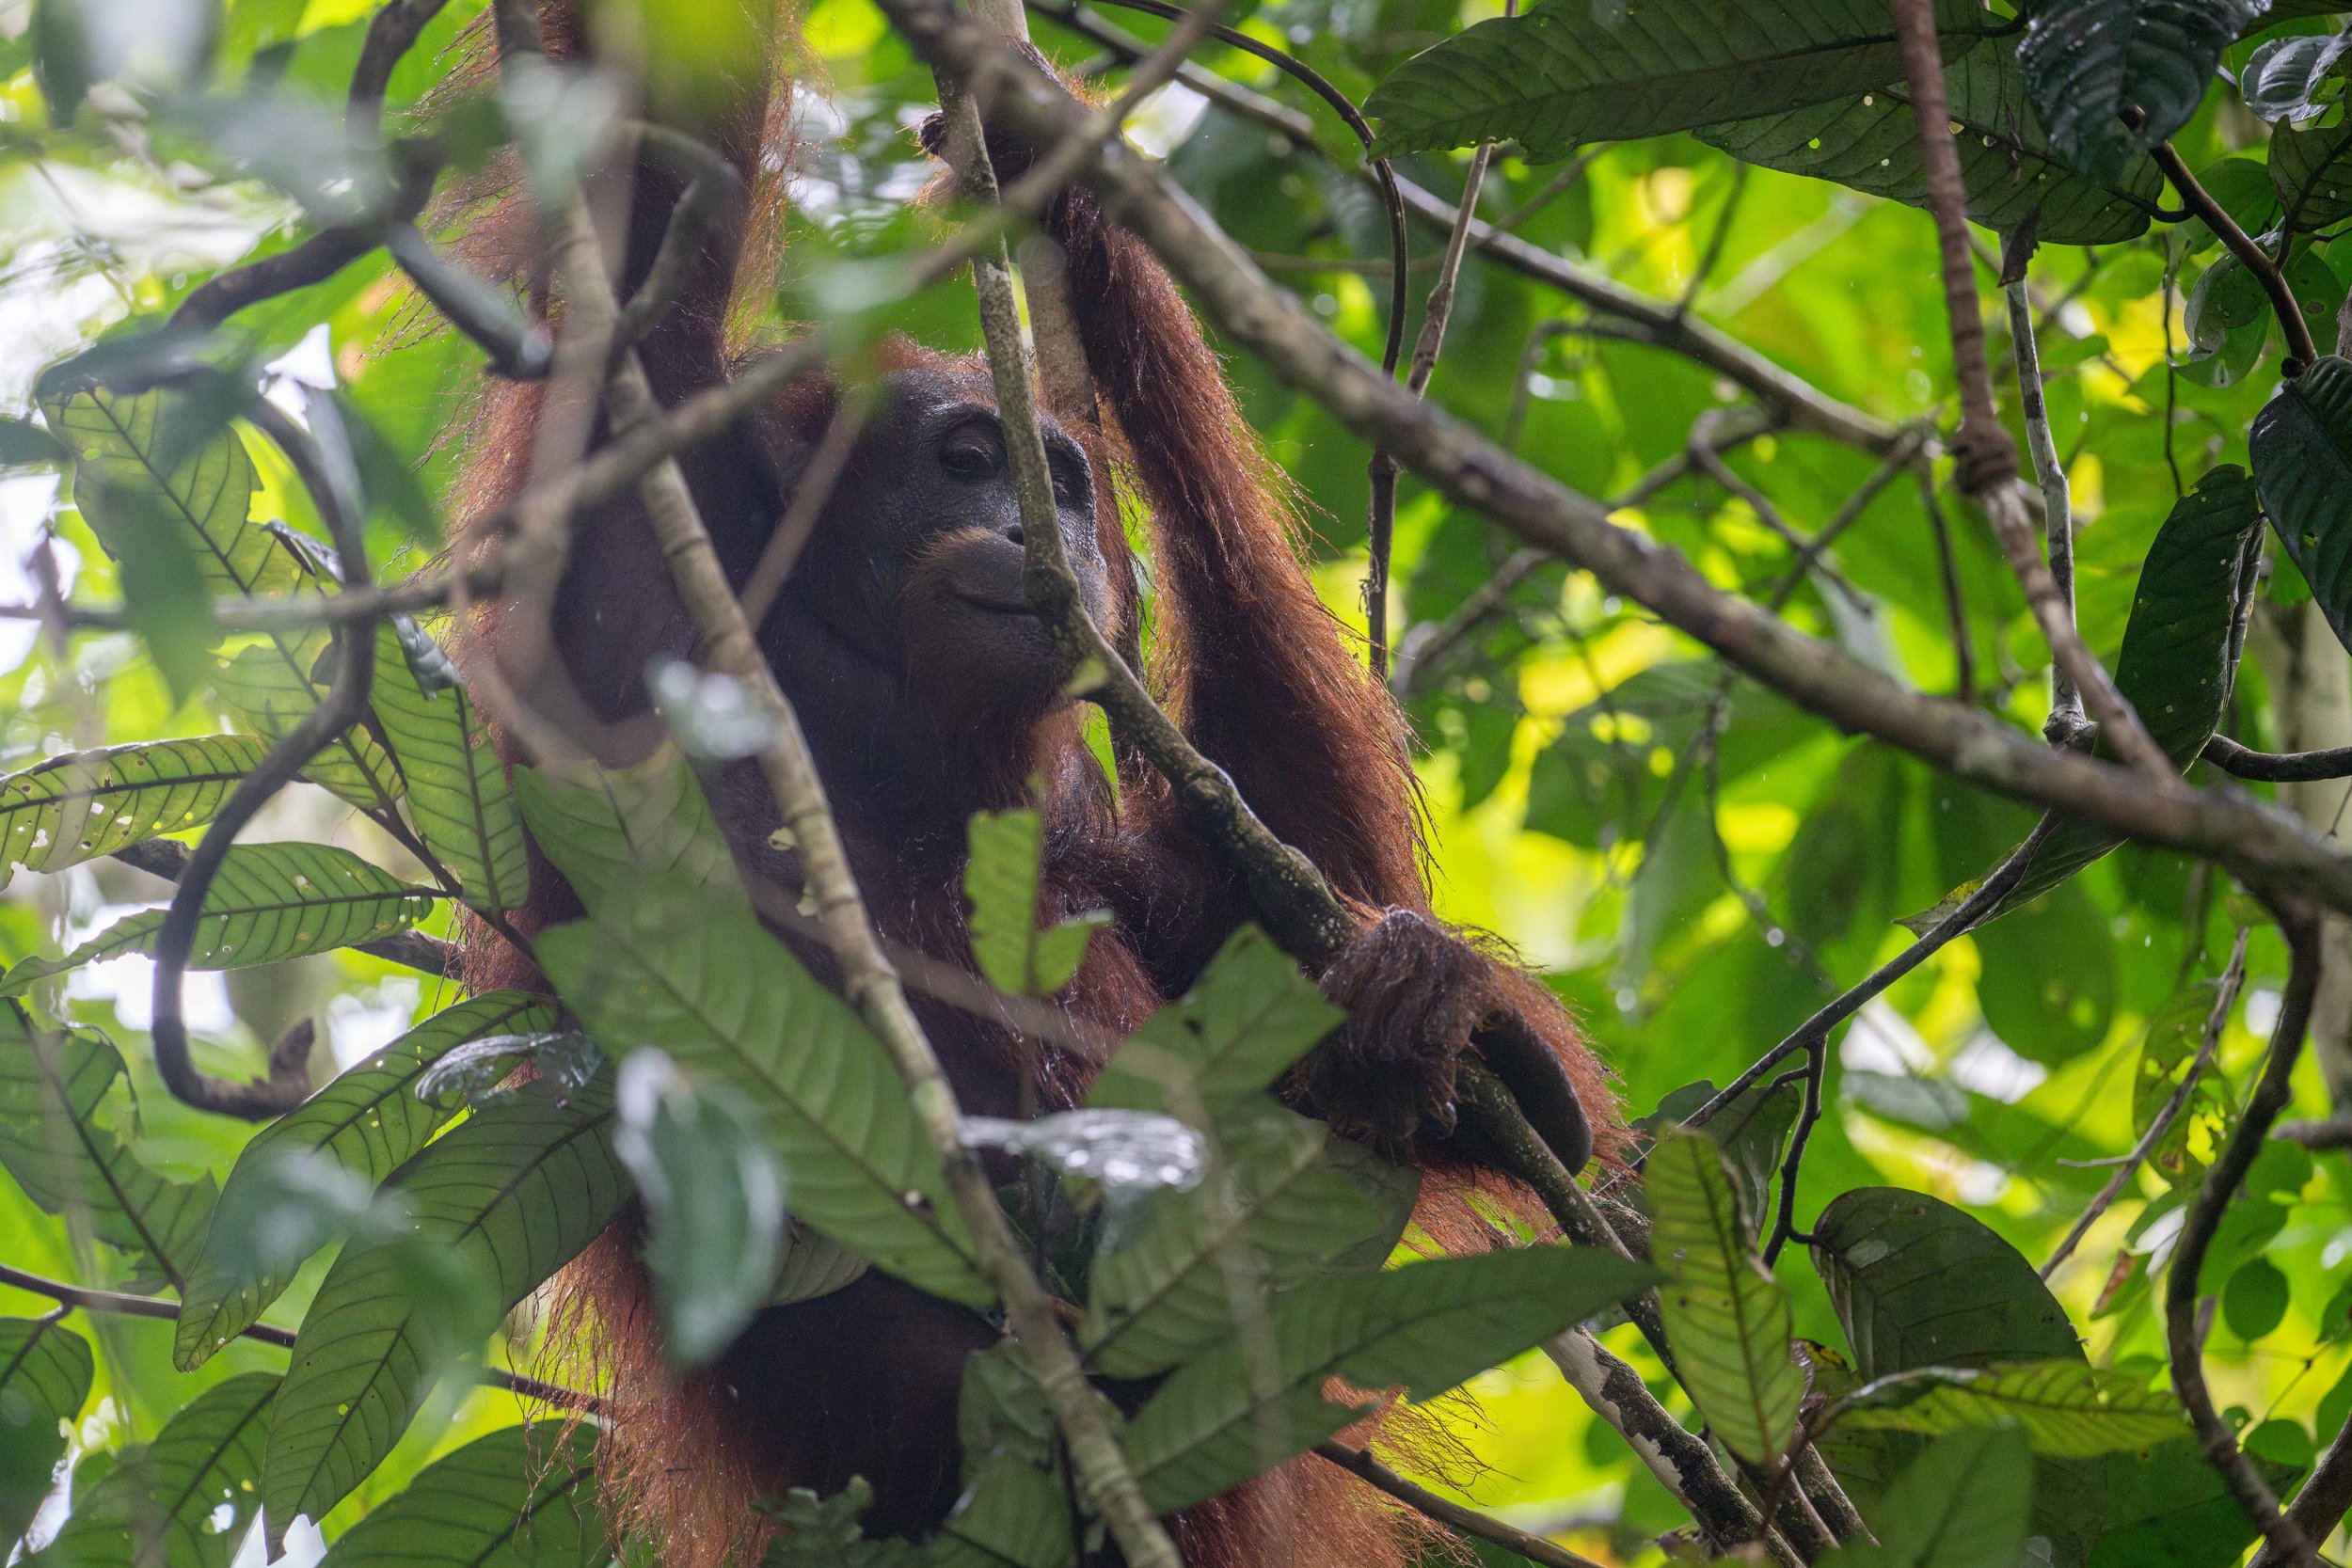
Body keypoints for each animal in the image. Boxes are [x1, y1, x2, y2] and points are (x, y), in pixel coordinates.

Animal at [451, 7, 1621, 1565]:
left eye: (1056, 483)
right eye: (964, 461)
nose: (1034, 523)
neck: (858, 711)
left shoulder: (1076, 802)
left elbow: (1296, 900)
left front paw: (1045, 149)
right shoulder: (639, 499)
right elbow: (646, 160)